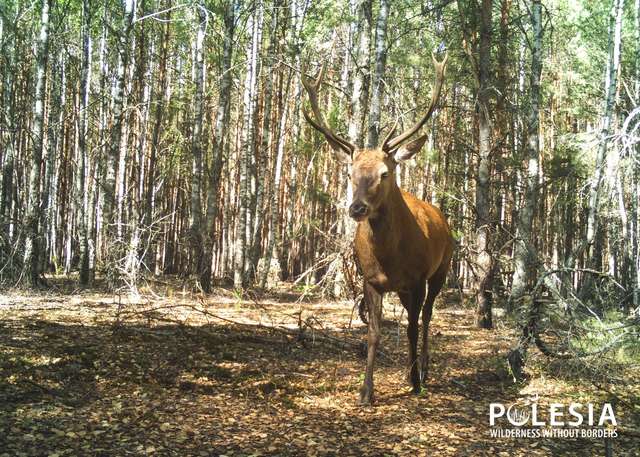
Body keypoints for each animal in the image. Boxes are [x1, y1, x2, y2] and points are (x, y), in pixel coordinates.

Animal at [302, 54, 452, 406]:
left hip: (442, 269)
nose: (356, 208)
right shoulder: (370, 280)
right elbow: (373, 332)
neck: (390, 258)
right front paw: (366, 391)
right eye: (349, 172)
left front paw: (415, 380)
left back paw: (424, 369)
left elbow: (412, 327)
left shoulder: (418, 278)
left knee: (426, 317)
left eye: (385, 172)